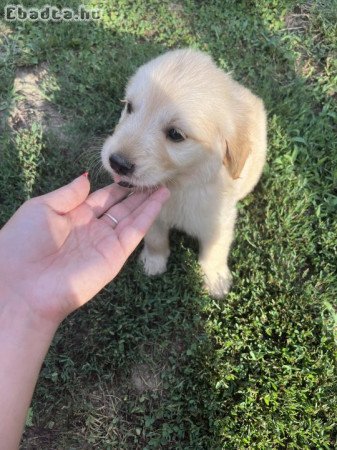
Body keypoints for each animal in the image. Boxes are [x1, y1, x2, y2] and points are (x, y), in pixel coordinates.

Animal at [101, 48, 266, 298]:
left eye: (176, 134)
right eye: (129, 107)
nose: (118, 163)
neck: (179, 185)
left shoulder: (220, 220)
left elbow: (215, 250)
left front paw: (216, 279)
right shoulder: (153, 212)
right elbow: (155, 239)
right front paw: (153, 262)